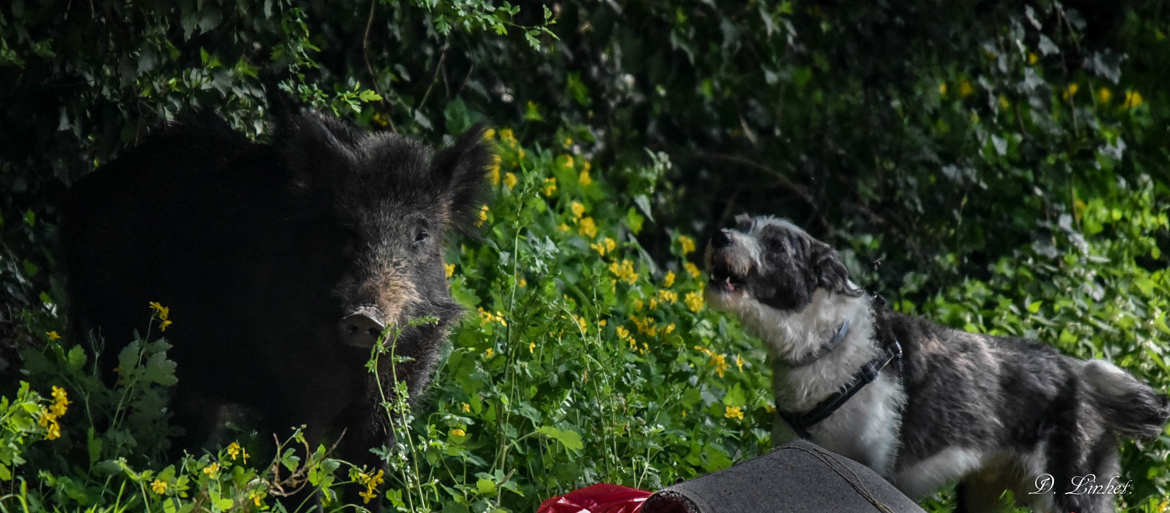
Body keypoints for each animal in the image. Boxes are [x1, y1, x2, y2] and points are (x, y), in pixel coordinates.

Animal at [702, 214, 1170, 510]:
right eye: (742, 223)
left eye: (777, 244)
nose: (721, 235)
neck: (828, 344)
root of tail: (1081, 377)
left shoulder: (875, 466)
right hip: (983, 496)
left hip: (1073, 492)